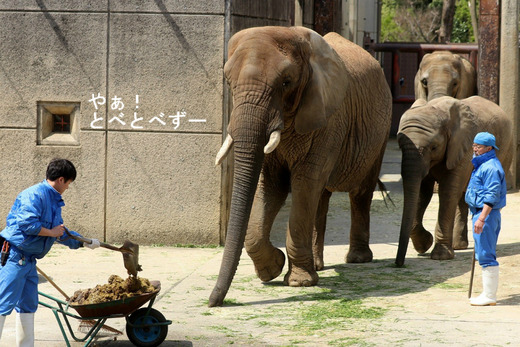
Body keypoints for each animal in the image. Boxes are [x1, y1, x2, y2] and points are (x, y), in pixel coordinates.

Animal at [207, 26, 390, 308]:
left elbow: (305, 182)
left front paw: (299, 282)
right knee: (321, 198)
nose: (212, 301)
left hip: (381, 130)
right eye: (228, 81)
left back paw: (357, 259)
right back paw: (318, 266)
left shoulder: (329, 119)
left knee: (359, 191)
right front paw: (272, 270)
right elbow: (270, 186)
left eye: (286, 82)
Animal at [396, 96, 512, 266]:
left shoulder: (463, 147)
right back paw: (458, 246)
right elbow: (422, 193)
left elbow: (447, 192)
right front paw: (425, 244)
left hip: (506, 150)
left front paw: (440, 256)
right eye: (400, 145)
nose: (398, 263)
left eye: (434, 147)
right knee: (464, 196)